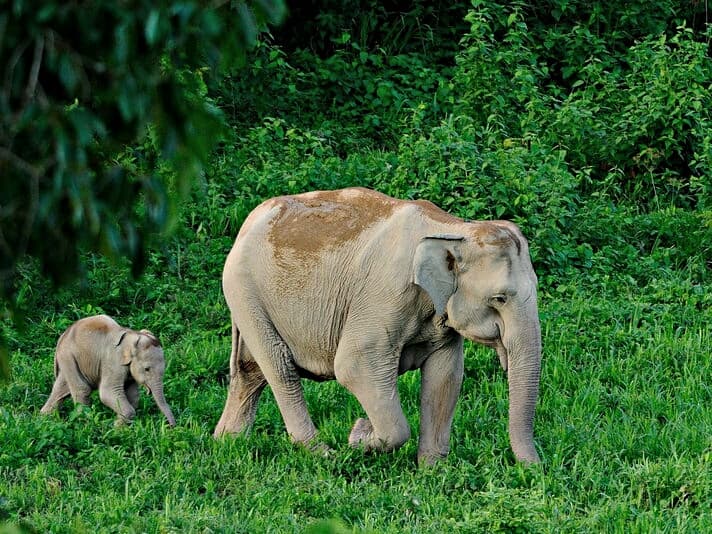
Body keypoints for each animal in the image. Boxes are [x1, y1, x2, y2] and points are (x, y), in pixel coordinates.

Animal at [40, 318, 177, 428]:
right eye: (147, 369)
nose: (171, 426)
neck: (132, 335)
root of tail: (62, 337)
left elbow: (133, 395)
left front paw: (119, 426)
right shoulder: (113, 362)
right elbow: (107, 392)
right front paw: (114, 428)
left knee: (61, 389)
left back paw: (44, 418)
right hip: (68, 357)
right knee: (82, 389)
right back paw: (84, 423)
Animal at [214, 187, 544, 464]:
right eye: (499, 298)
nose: (536, 470)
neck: (454, 229)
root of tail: (248, 221)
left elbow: (446, 377)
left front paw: (432, 471)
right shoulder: (384, 296)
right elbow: (354, 366)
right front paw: (358, 435)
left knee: (249, 370)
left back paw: (227, 443)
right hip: (244, 290)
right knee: (279, 367)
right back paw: (323, 453)